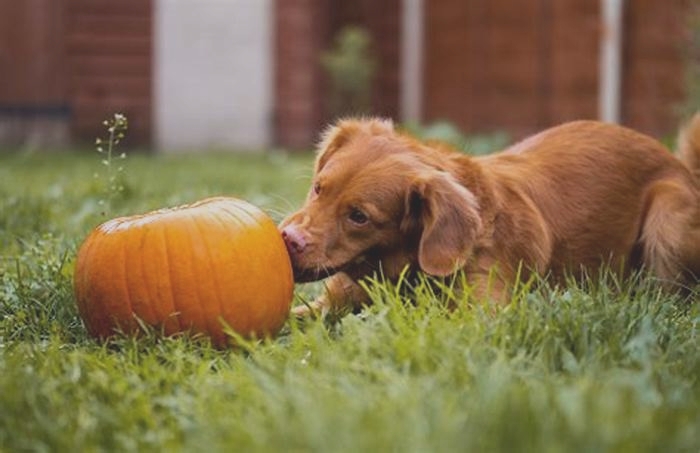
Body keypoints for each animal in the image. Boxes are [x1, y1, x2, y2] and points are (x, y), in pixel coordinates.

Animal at [278, 116, 700, 314]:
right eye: (319, 188)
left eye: (359, 217)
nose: (289, 240)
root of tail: (679, 165)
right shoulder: (327, 305)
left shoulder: (482, 315)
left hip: (667, 218)